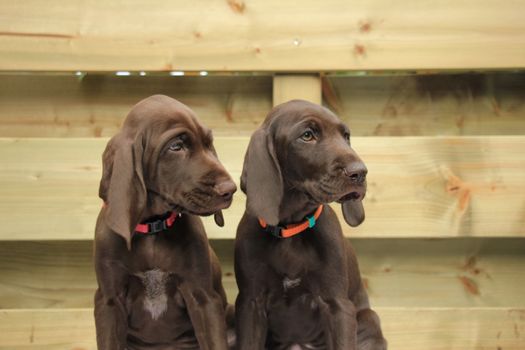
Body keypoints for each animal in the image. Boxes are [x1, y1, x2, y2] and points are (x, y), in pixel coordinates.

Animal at [93, 95, 236, 350]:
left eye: (208, 144)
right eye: (176, 147)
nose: (230, 190)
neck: (153, 228)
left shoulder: (203, 297)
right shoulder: (109, 301)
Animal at [233, 100, 384, 348]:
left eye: (346, 136)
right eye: (307, 135)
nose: (360, 172)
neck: (290, 228)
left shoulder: (338, 305)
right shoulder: (250, 304)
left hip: (368, 319)